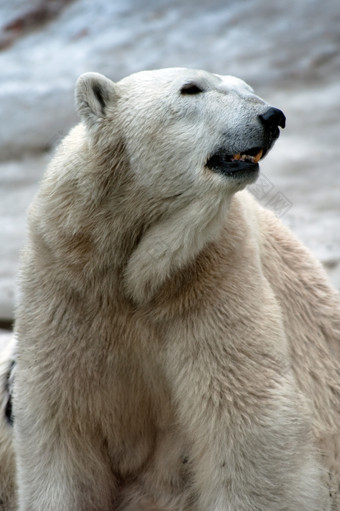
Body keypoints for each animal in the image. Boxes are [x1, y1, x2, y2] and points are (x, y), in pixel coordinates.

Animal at [3, 69, 340, 511]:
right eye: (191, 88)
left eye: (246, 87)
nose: (272, 116)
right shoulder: (67, 283)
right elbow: (60, 420)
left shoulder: (208, 273)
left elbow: (245, 414)